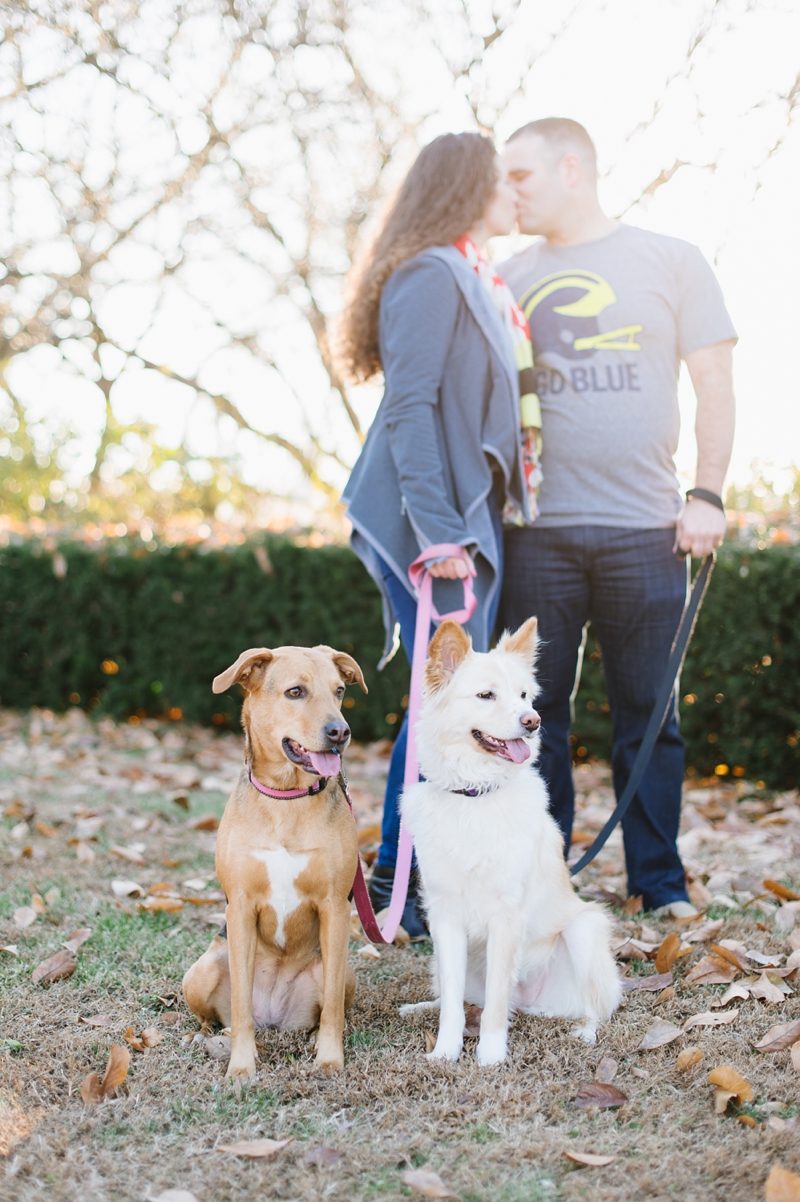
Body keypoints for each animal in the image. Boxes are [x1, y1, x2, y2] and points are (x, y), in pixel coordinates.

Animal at [180, 649, 365, 1081]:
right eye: (295, 692)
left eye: (340, 690)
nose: (341, 732)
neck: (287, 797)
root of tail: (275, 1018)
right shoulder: (240, 907)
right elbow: (240, 1006)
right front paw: (241, 1065)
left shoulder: (335, 908)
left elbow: (332, 1008)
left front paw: (330, 1058)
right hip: (202, 970)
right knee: (218, 1015)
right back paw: (210, 1035)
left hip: (341, 971)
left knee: (327, 1006)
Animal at [401, 615, 619, 1067]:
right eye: (486, 695)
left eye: (523, 695)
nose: (533, 721)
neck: (475, 795)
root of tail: (533, 1001)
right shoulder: (445, 917)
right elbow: (453, 1003)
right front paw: (446, 1051)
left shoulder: (506, 917)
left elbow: (498, 1003)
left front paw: (490, 1055)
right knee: (455, 996)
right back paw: (419, 1007)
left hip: (584, 929)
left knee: (591, 1008)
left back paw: (584, 1033)